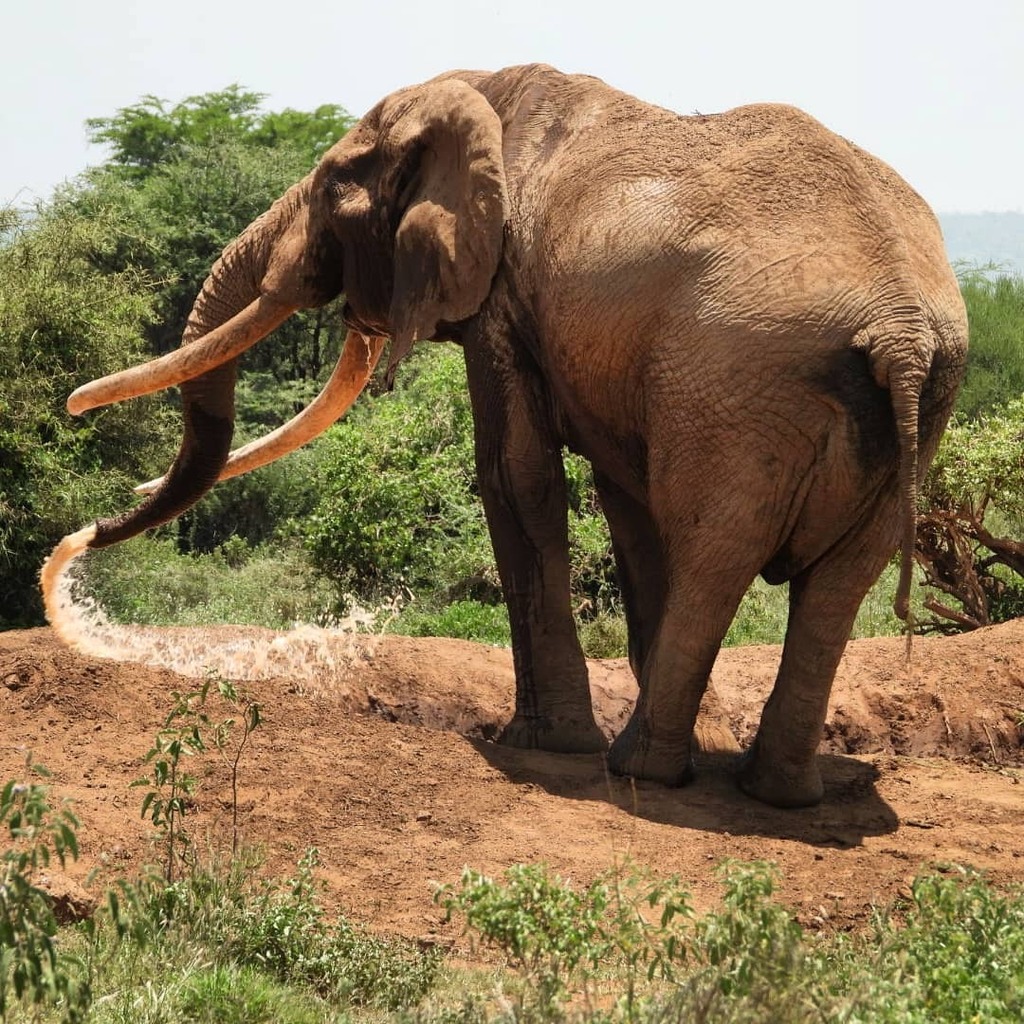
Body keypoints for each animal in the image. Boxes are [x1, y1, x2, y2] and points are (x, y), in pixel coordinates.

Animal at [54, 63, 968, 809]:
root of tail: (899, 324)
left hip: (740, 382)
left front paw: (539, 744)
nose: (79, 543)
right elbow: (621, 502)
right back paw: (774, 793)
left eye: (336, 187)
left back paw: (642, 769)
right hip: (895, 406)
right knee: (840, 581)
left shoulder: (504, 292)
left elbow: (515, 475)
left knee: (717, 553)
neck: (487, 99)